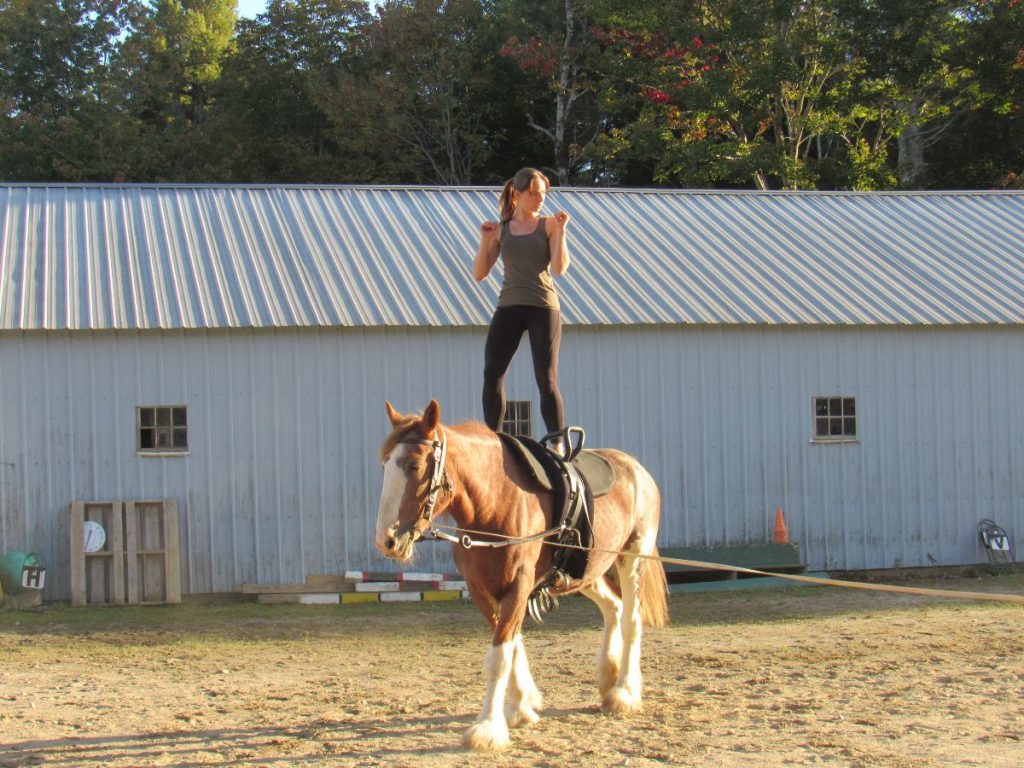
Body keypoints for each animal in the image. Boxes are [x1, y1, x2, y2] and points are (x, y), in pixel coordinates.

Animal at [372, 403, 667, 753]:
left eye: (414, 465)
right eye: (385, 464)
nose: (386, 541)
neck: (494, 505)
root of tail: (637, 469)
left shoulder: (518, 587)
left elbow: (499, 655)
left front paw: (488, 728)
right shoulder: (483, 591)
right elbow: (511, 645)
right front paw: (521, 706)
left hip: (632, 557)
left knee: (631, 619)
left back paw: (624, 692)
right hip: (585, 573)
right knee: (614, 608)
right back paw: (608, 678)